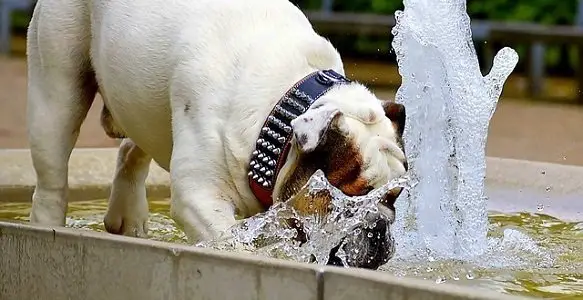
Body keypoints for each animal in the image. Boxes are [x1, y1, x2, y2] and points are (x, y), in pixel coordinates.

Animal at [27, 0, 408, 270]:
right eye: (349, 198)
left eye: (396, 197)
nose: (380, 228)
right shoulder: (199, 198)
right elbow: (230, 244)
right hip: (58, 88)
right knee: (52, 175)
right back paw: (47, 228)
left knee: (131, 148)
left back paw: (128, 220)